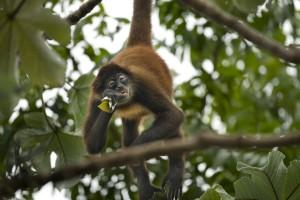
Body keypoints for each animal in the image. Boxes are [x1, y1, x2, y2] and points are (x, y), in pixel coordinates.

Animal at [83, 0, 184, 199]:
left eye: (122, 79)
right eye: (111, 83)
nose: (120, 88)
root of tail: (137, 46)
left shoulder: (141, 84)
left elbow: (173, 115)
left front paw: (133, 151)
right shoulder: (95, 98)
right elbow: (92, 145)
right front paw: (110, 102)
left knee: (172, 122)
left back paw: (175, 171)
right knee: (130, 128)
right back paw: (144, 183)